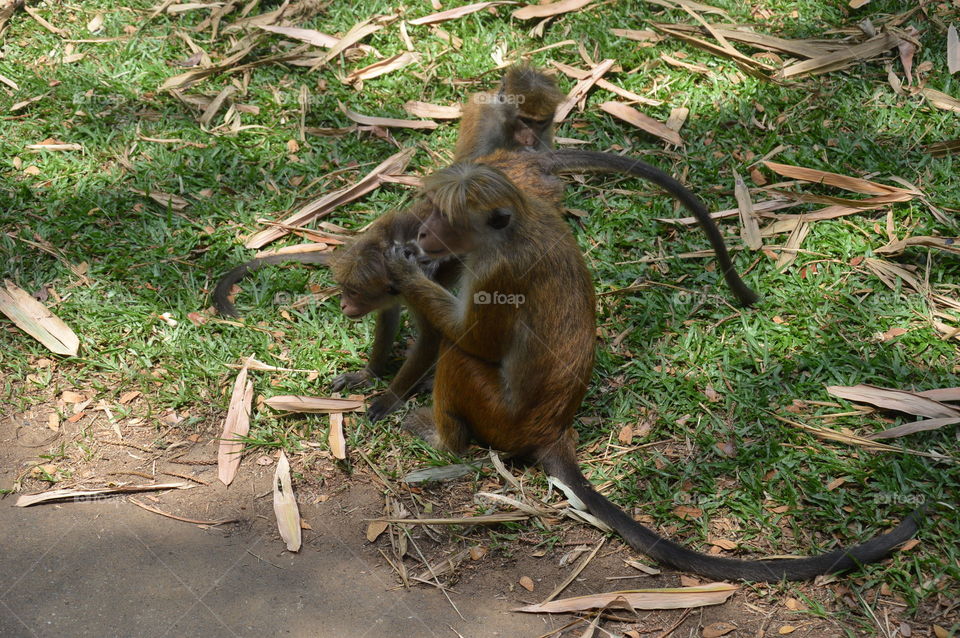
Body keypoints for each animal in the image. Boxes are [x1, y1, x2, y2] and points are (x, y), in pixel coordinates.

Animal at [382, 161, 919, 582]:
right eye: (430, 213)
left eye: (445, 218)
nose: (424, 233)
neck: (515, 228)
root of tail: (551, 429)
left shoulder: (498, 271)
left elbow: (473, 341)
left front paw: (406, 270)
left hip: (499, 417)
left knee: (460, 356)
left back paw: (444, 442)